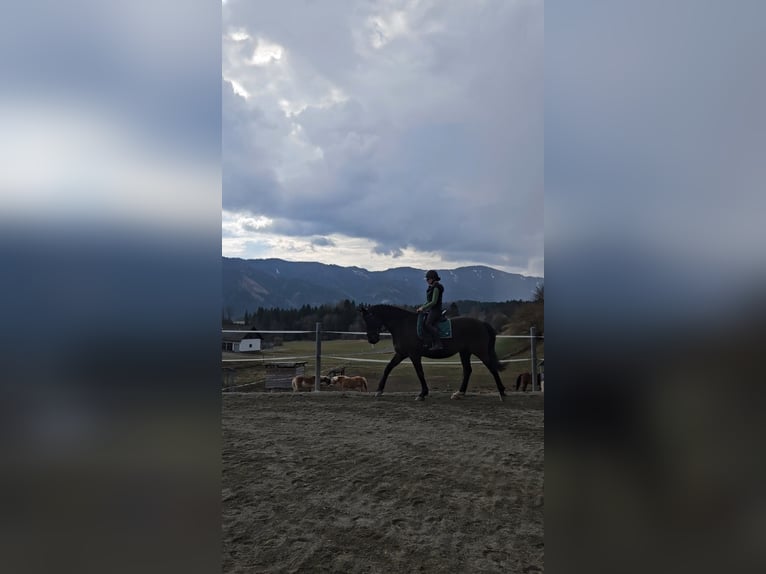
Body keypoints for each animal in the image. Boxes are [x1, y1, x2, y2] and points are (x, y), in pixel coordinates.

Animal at [359, 304, 506, 401]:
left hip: (480, 352)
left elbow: (419, 372)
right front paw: (379, 390)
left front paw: (422, 393)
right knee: (467, 371)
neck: (403, 325)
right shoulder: (401, 354)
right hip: (465, 352)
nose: (372, 339)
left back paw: (502, 393)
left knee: (492, 369)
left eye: (369, 319)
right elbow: (388, 368)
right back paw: (459, 393)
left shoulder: (414, 355)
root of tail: (482, 324)